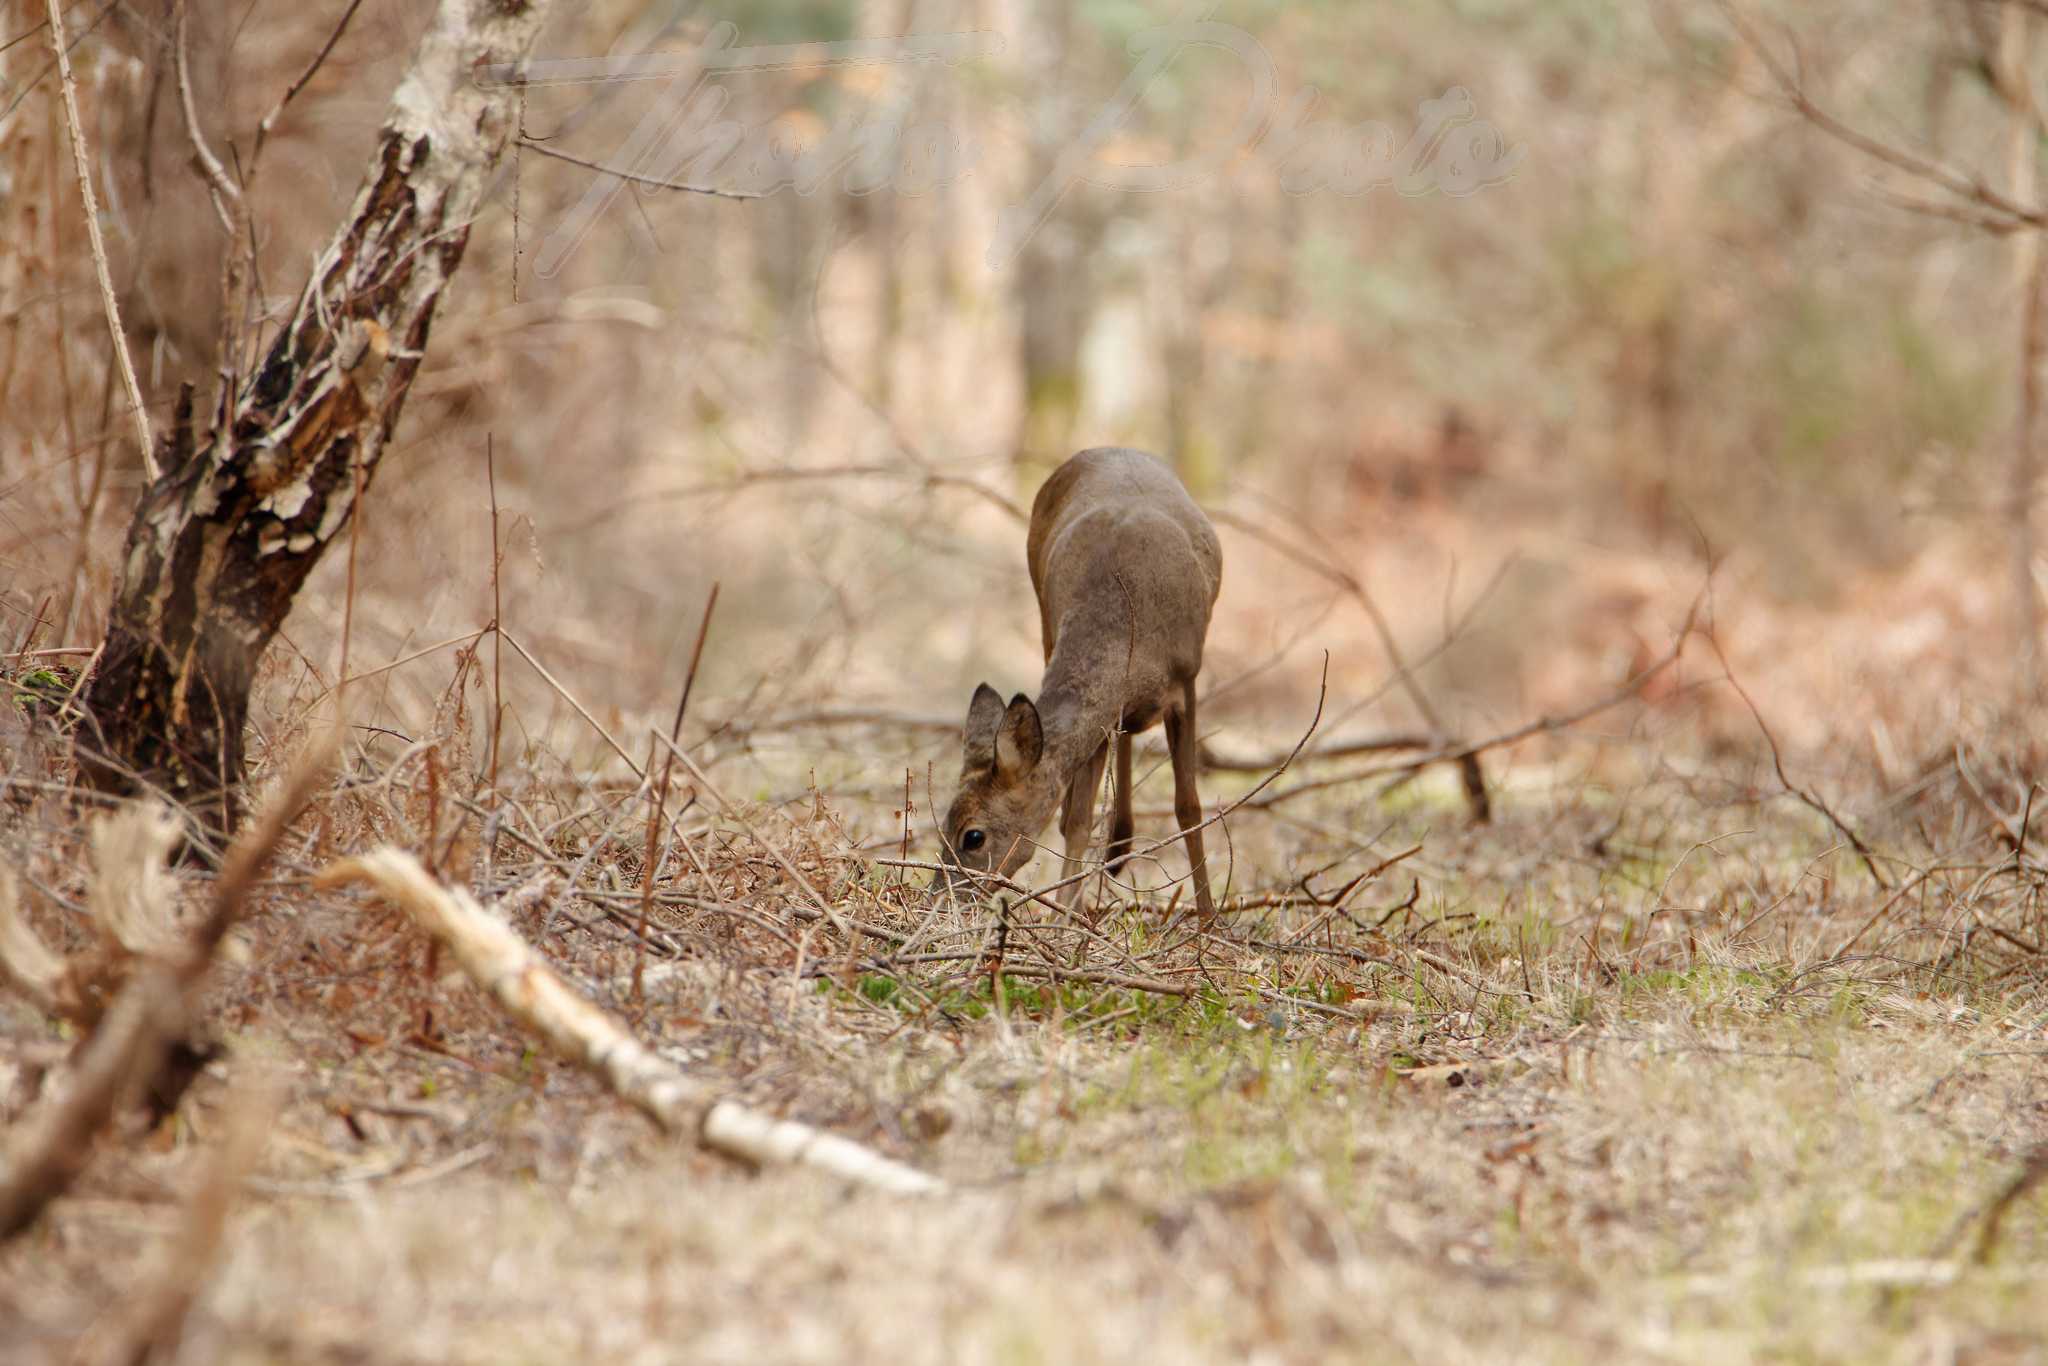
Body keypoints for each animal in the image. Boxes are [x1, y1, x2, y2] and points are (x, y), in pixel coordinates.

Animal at [937, 448, 1220, 917]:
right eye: (941, 827)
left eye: (972, 836)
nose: (942, 902)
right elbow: (1077, 820)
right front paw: (1066, 915)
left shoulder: (1187, 680)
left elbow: (1189, 807)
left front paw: (1209, 921)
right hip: (1044, 620)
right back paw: (1118, 845)